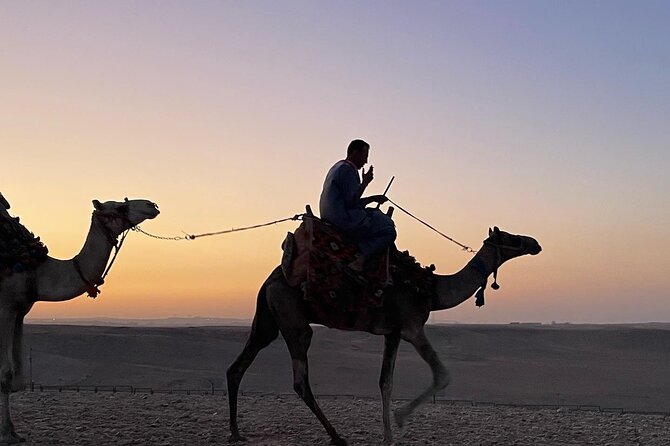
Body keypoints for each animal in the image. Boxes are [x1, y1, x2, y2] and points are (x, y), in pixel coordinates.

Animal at [0, 199, 159, 442]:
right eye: (120, 207)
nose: (152, 205)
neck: (37, 270)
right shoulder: (6, 307)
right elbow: (6, 373)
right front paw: (7, 434)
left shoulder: (20, 310)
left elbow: (17, 377)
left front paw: (13, 431)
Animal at [228, 228, 544, 444]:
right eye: (511, 237)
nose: (534, 243)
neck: (431, 290)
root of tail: (270, 279)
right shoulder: (412, 327)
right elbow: (442, 375)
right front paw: (401, 419)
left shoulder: (392, 334)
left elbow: (385, 383)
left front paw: (388, 435)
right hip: (294, 320)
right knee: (300, 380)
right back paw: (336, 436)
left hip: (267, 319)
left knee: (238, 366)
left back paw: (235, 432)